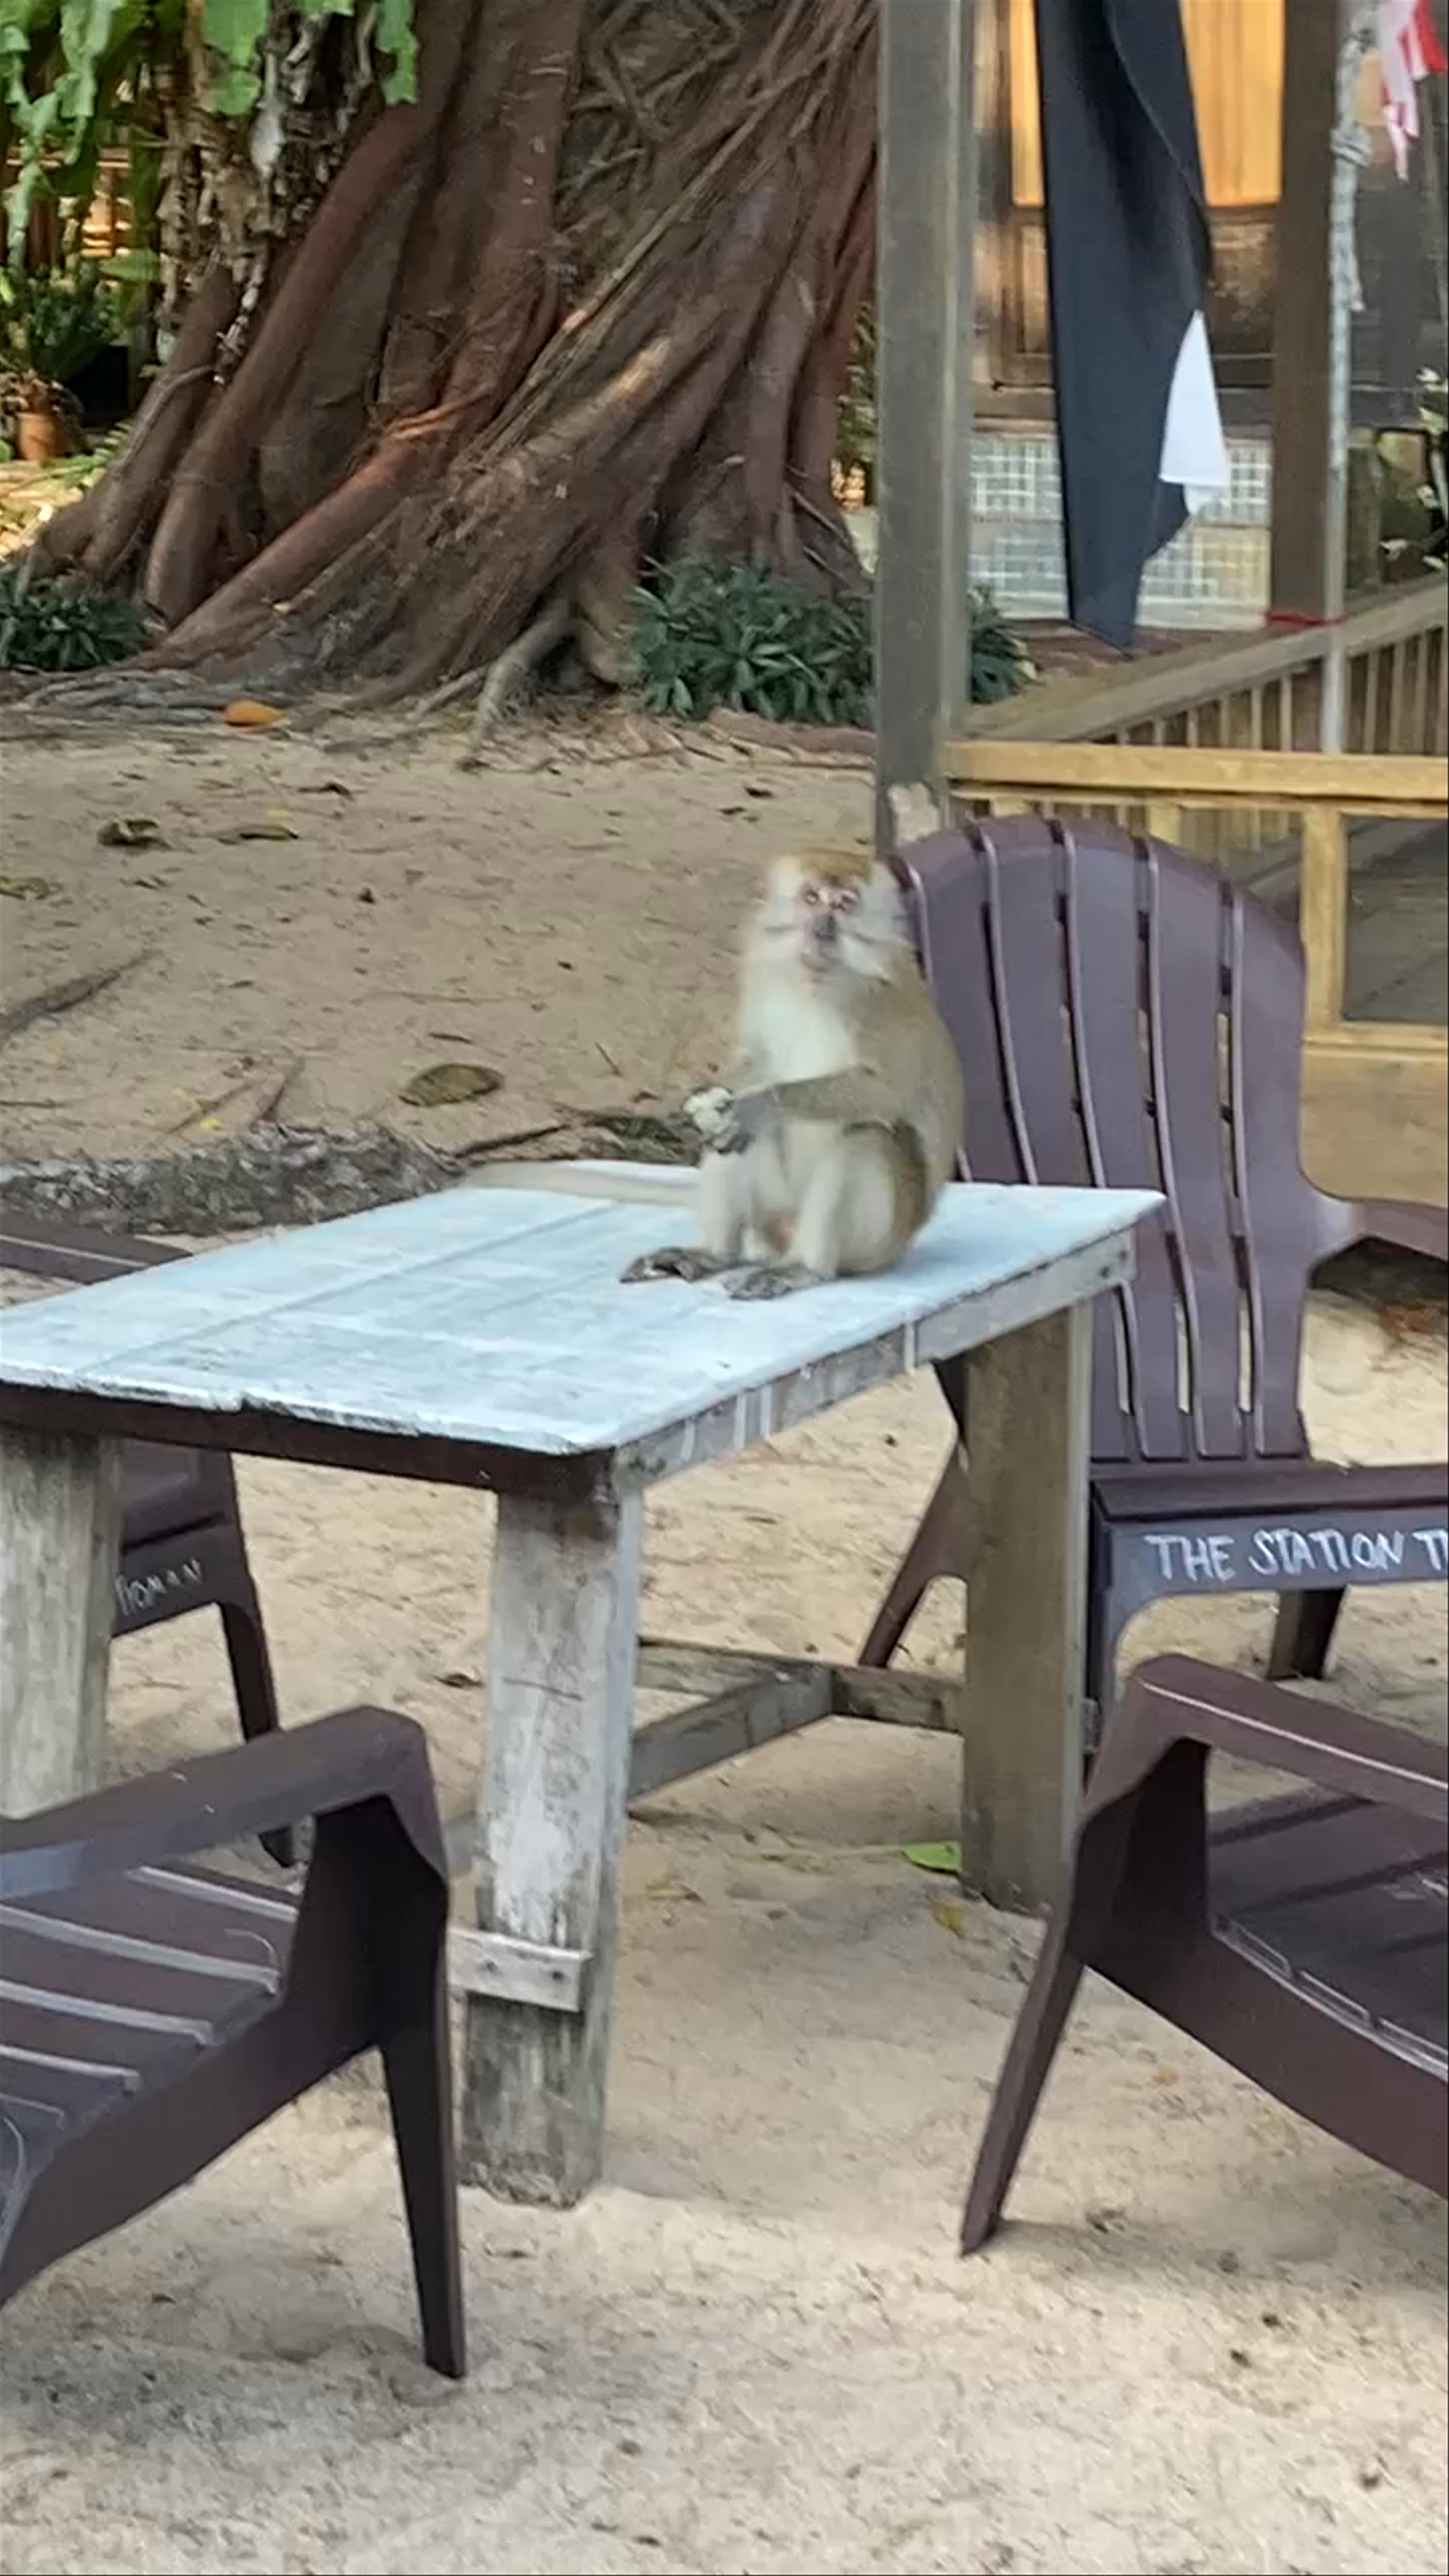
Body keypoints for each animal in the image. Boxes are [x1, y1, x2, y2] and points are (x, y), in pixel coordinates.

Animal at [623, 846, 965, 1301]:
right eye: (812, 898)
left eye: (844, 905)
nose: (822, 930)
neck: (817, 981)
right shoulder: (762, 976)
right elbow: (756, 1060)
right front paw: (711, 1104)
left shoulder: (885, 999)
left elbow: (889, 1092)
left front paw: (761, 1105)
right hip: (774, 1215)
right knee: (732, 1145)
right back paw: (716, 1253)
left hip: (876, 1242)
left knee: (867, 1135)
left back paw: (805, 1267)